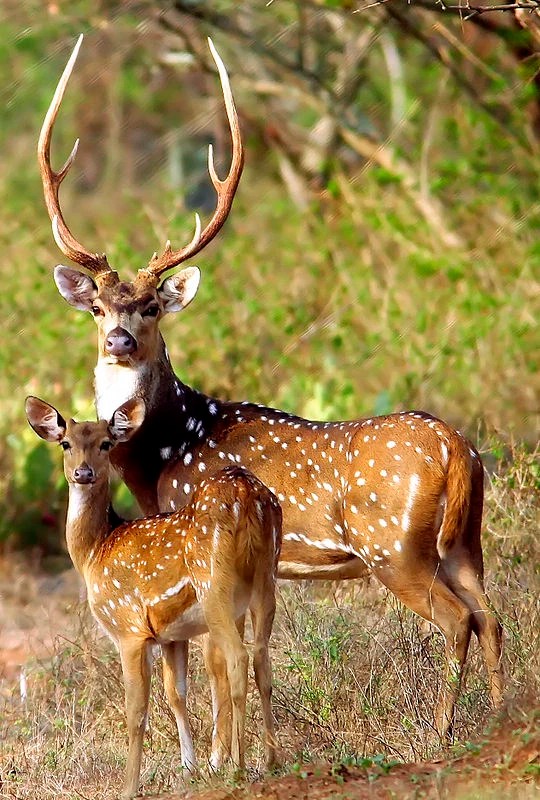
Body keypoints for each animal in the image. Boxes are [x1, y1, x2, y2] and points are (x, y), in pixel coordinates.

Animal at [25, 395, 282, 800]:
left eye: (106, 444)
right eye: (66, 443)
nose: (83, 473)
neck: (96, 552)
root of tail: (246, 496)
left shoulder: (128, 627)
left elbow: (136, 711)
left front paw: (129, 786)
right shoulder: (170, 634)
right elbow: (176, 694)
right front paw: (190, 769)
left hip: (215, 586)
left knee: (238, 658)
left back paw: (240, 766)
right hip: (265, 577)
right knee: (261, 658)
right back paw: (272, 760)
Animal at [37, 35, 503, 747]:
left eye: (151, 306)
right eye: (97, 308)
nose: (118, 339)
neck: (160, 452)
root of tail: (458, 452)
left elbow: (213, 667)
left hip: (394, 546)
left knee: (458, 620)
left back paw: (441, 733)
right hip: (466, 540)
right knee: (492, 615)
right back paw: (506, 716)